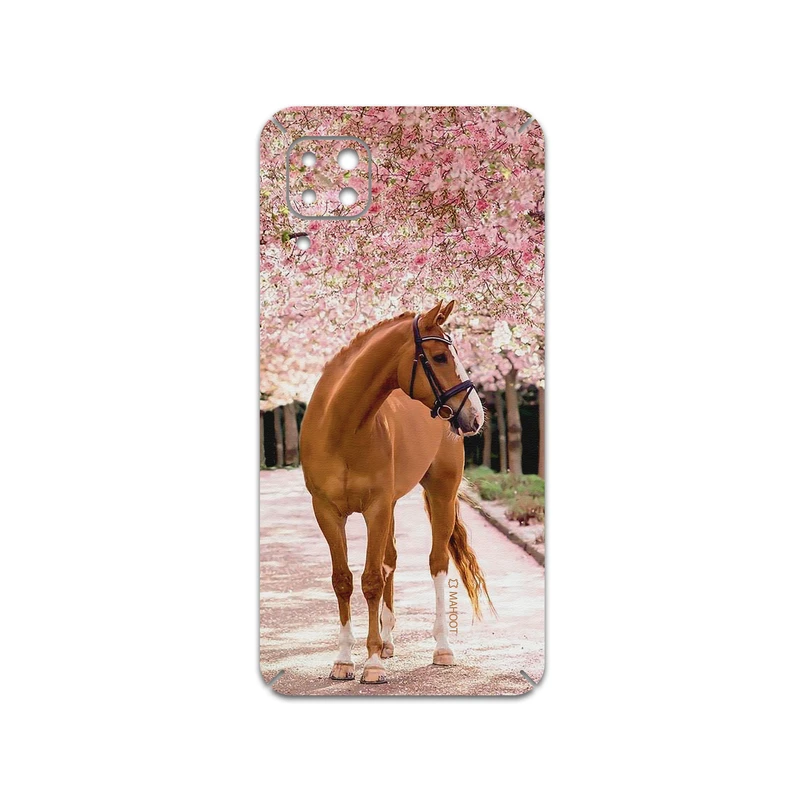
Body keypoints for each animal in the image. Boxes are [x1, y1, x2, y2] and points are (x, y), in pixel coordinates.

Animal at [299, 300, 493, 684]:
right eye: (439, 356)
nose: (476, 416)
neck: (341, 427)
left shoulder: (375, 508)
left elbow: (371, 580)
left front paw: (371, 664)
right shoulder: (327, 511)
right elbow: (343, 580)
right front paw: (344, 660)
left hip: (440, 493)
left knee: (436, 563)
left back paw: (442, 648)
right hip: (390, 506)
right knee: (390, 560)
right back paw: (387, 642)